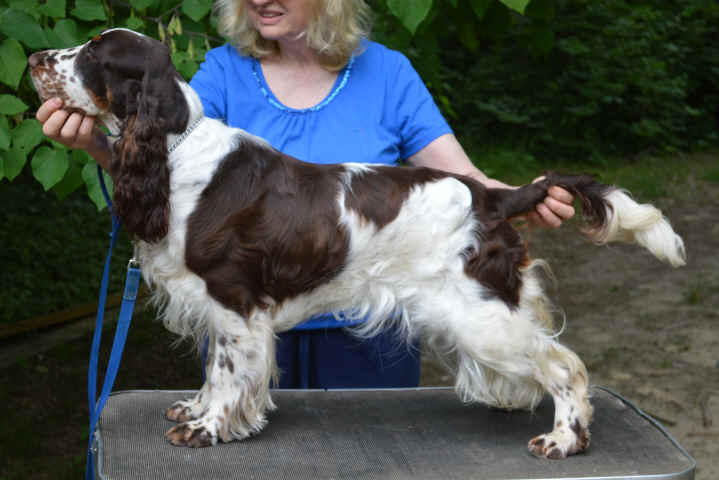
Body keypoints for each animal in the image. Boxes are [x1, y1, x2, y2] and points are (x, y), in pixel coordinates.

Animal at [32, 30, 688, 458]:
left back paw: (562, 438)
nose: (36, 58)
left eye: (92, 55)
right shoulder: (223, 306)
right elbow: (216, 371)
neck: (173, 151)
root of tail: (491, 197)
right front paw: (197, 411)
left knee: (566, 365)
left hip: (476, 314)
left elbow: (230, 370)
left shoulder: (234, 297)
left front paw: (208, 429)